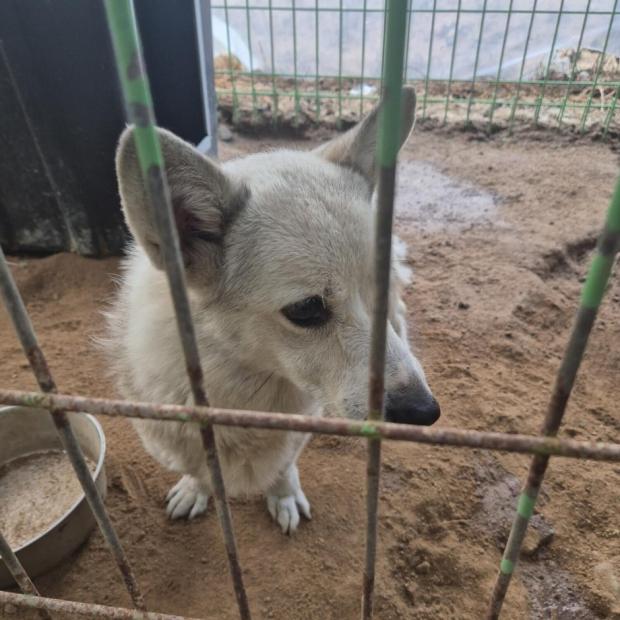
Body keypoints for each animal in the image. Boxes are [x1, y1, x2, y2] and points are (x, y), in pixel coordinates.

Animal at [103, 87, 440, 532]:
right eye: (306, 309)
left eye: (383, 291)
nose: (426, 412)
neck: (239, 385)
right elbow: (200, 469)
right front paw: (196, 488)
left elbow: (283, 466)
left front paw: (283, 494)